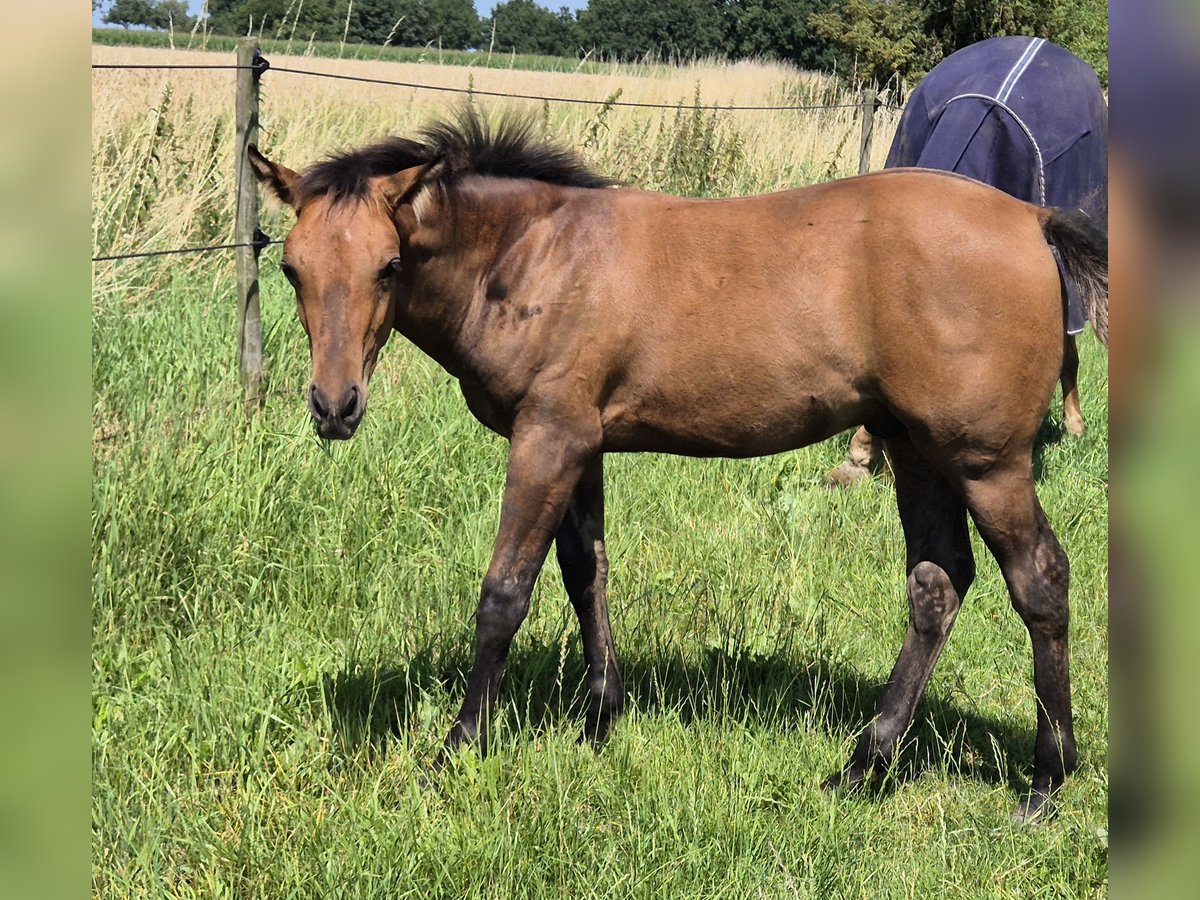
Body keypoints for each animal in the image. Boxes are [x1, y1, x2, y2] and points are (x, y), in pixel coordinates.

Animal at [248, 111, 1108, 825]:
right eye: (290, 269)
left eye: (389, 266)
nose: (334, 405)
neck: (534, 255)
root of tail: (1031, 218)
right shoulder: (581, 442)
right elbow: (584, 571)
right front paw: (599, 720)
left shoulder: (546, 438)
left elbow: (505, 594)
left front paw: (458, 748)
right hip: (917, 446)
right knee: (938, 582)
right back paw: (862, 766)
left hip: (985, 461)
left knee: (1039, 580)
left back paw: (1044, 782)